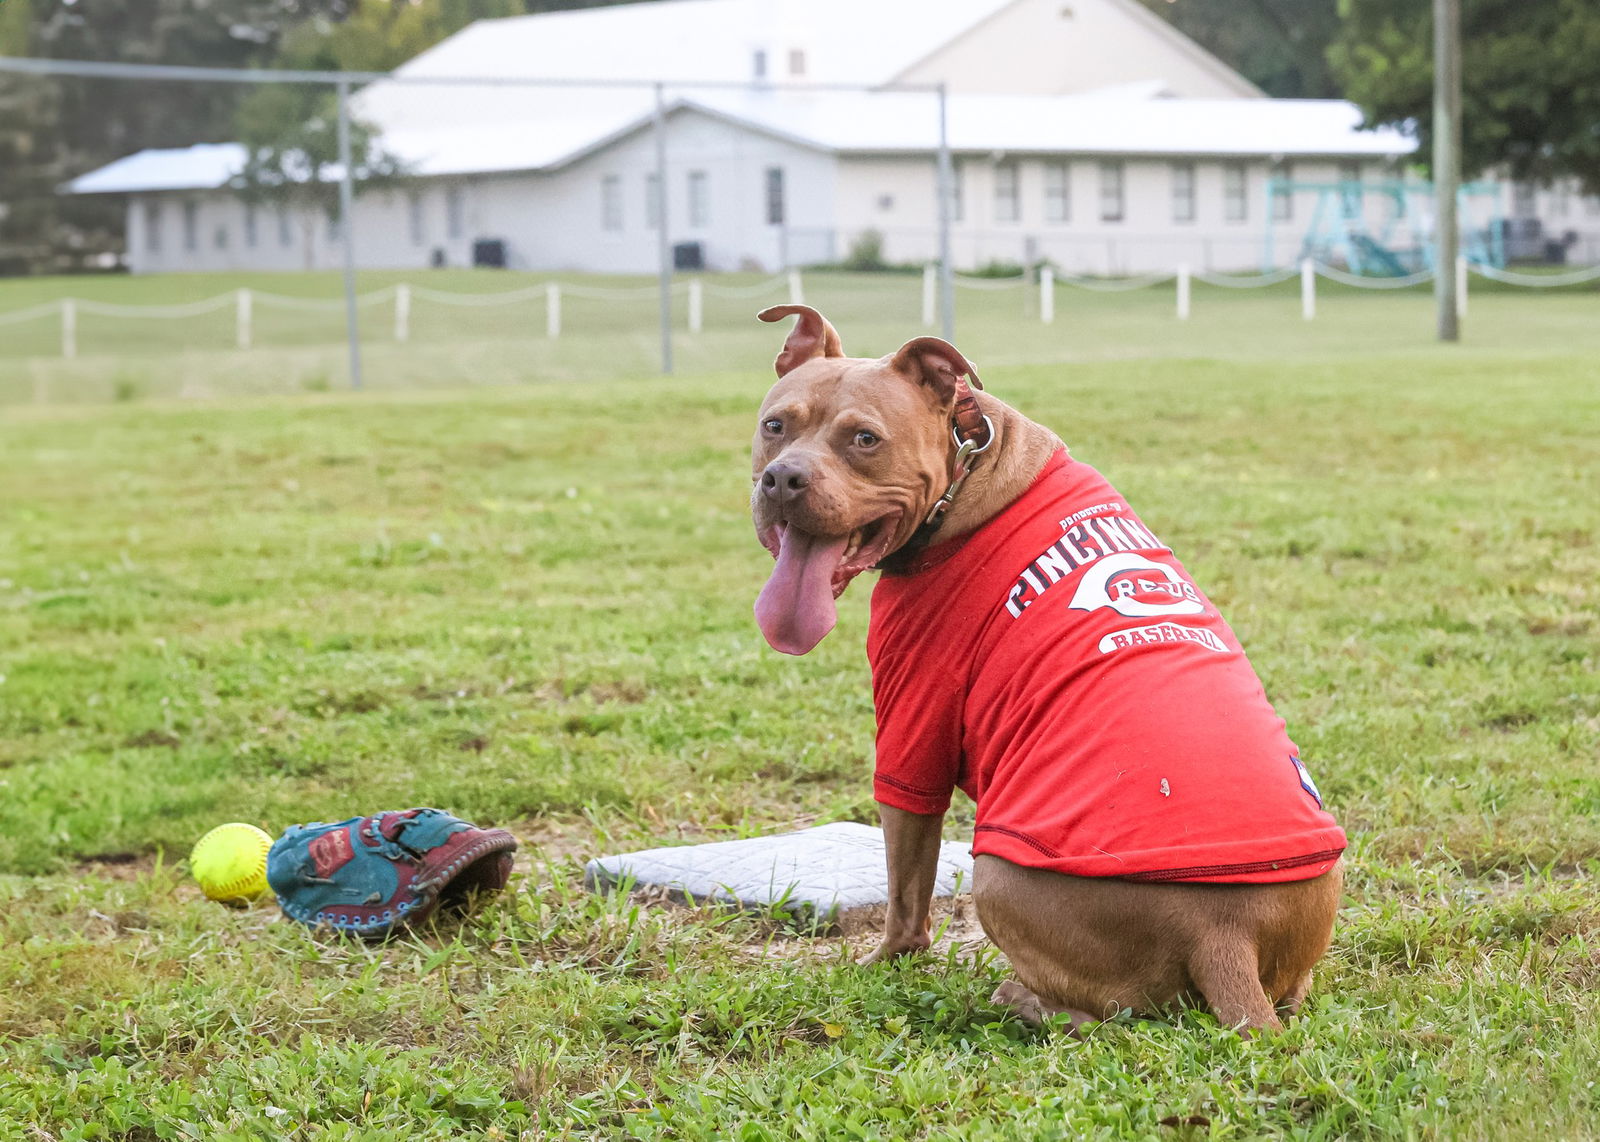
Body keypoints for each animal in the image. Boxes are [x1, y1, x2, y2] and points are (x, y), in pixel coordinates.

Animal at [742, 302, 1344, 1030]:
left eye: (865, 439)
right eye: (775, 426)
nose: (783, 478)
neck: (968, 474)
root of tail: (1225, 934)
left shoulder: (913, 724)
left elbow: (906, 886)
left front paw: (887, 962)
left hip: (999, 873)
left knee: (1107, 1013)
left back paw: (1021, 999)